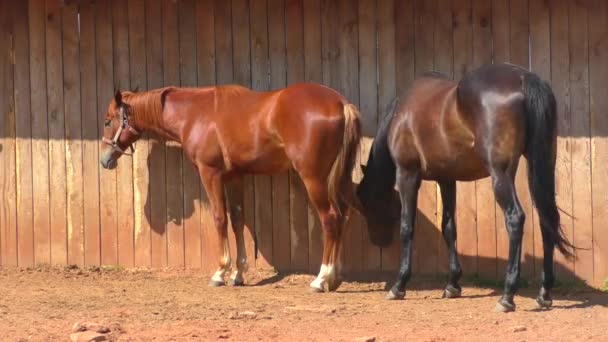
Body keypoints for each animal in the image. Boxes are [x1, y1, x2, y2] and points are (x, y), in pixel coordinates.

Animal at [98, 82, 360, 292]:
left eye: (107, 120)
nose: (104, 160)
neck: (195, 114)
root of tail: (341, 103)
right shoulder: (235, 176)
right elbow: (237, 220)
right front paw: (239, 274)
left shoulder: (210, 173)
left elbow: (219, 218)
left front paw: (220, 273)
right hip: (339, 180)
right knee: (344, 216)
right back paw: (335, 278)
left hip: (314, 178)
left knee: (330, 219)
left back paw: (321, 279)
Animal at [358, 62, 572, 312]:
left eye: (366, 205)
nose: (378, 242)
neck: (401, 113)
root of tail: (523, 78)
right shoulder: (446, 179)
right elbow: (449, 227)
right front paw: (452, 284)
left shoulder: (407, 174)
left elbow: (407, 226)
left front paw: (399, 285)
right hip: (542, 166)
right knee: (547, 220)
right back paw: (544, 293)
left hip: (500, 174)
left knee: (515, 219)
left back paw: (507, 296)